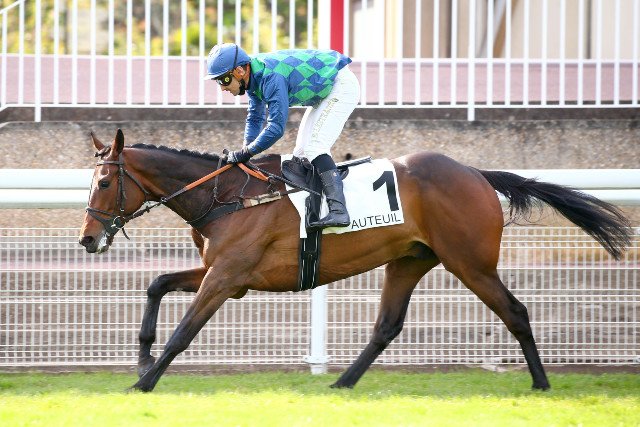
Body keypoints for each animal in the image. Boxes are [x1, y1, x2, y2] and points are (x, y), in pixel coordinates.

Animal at [78, 129, 632, 392]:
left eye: (104, 182)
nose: (87, 240)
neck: (229, 196)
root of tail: (477, 173)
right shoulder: (226, 274)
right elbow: (157, 283)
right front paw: (142, 357)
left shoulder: (226, 277)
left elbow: (183, 332)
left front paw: (143, 381)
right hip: (409, 260)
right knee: (386, 325)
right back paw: (342, 382)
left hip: (470, 263)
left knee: (515, 311)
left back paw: (541, 383)